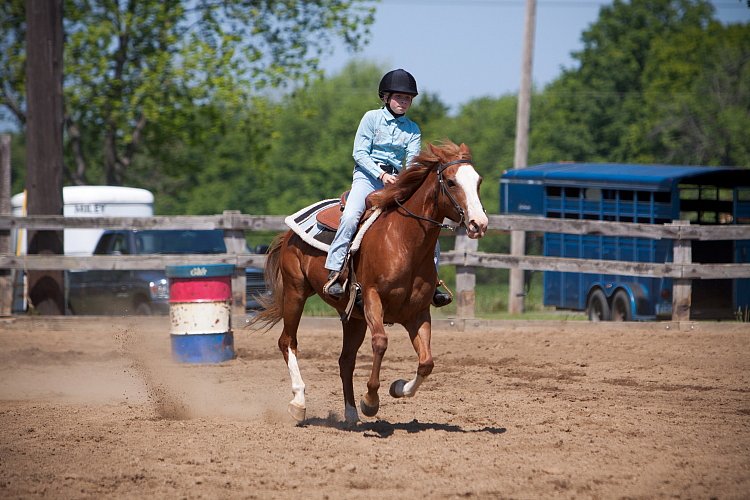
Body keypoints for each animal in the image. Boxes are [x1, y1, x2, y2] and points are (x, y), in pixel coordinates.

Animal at [250, 139, 490, 424]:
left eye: (478, 181)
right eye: (451, 182)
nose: (479, 224)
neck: (404, 242)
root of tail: (289, 234)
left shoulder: (418, 313)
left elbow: (426, 362)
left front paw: (397, 388)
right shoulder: (373, 300)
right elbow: (381, 343)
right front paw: (371, 400)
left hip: (352, 318)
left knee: (346, 360)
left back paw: (351, 412)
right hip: (295, 293)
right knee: (288, 342)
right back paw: (299, 402)